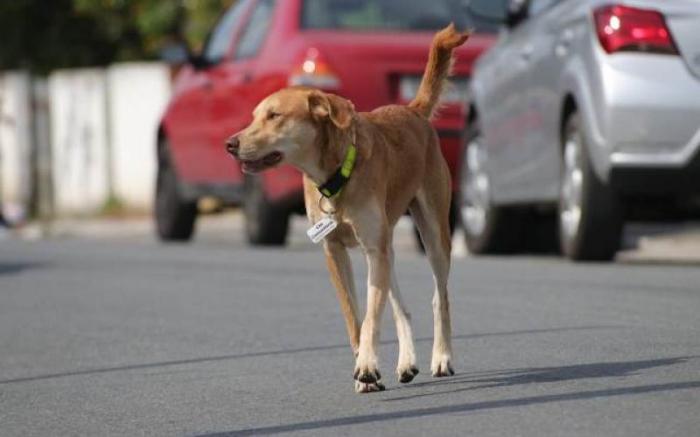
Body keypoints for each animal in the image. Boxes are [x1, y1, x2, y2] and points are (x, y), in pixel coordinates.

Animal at [227, 24, 474, 392]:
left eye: (274, 115)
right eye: (255, 116)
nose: (230, 144)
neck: (337, 174)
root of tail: (413, 111)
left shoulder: (372, 249)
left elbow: (372, 316)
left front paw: (368, 366)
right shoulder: (334, 251)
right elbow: (354, 316)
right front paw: (365, 369)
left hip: (432, 233)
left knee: (438, 297)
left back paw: (441, 357)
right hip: (386, 248)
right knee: (400, 306)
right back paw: (406, 362)